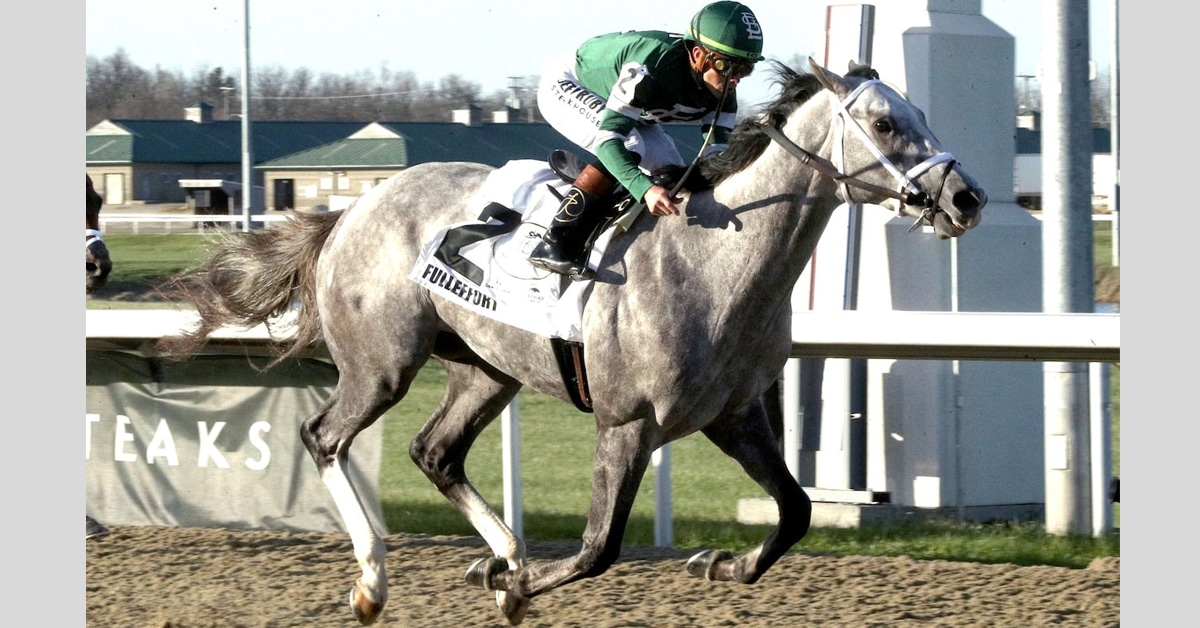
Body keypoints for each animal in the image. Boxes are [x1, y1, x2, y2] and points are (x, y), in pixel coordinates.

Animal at [159, 59, 987, 626]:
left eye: (919, 114)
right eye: (884, 124)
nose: (966, 197)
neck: (714, 260)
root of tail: (352, 210)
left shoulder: (735, 417)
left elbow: (796, 513)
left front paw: (719, 563)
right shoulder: (626, 424)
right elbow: (597, 550)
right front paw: (512, 590)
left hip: (486, 370)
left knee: (435, 452)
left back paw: (503, 551)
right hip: (381, 364)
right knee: (324, 436)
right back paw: (378, 582)